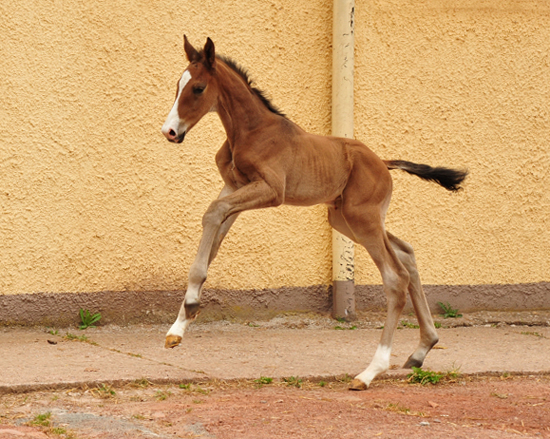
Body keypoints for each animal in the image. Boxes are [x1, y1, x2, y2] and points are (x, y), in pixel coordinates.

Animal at [161, 36, 470, 390]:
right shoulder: (232, 187)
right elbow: (211, 234)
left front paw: (191, 307)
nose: (170, 131)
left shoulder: (271, 191)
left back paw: (370, 372)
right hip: (347, 219)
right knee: (406, 253)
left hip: (362, 219)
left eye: (198, 88)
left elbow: (212, 214)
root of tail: (383, 162)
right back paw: (422, 349)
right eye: (178, 85)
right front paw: (178, 327)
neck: (251, 131)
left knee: (396, 277)